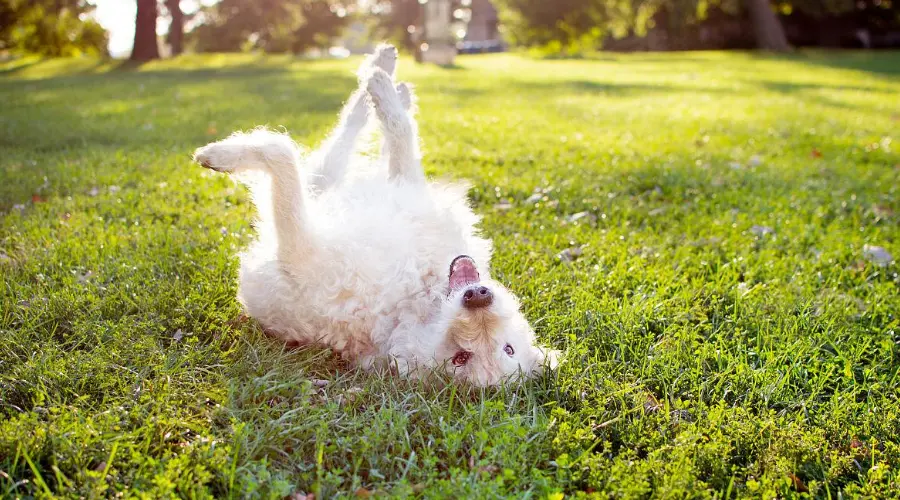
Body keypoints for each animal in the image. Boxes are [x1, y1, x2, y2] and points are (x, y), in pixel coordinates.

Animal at [197, 44, 556, 386]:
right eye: (508, 348)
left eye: (461, 358)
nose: (477, 298)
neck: (413, 300)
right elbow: (397, 138)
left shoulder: (297, 250)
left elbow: (283, 151)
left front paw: (222, 156)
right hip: (331, 182)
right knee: (356, 129)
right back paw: (388, 73)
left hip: (318, 187)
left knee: (336, 138)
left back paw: (380, 80)